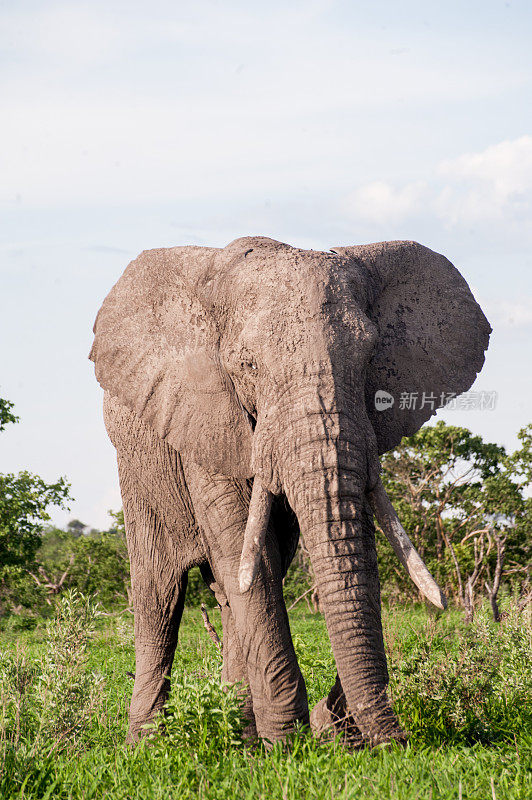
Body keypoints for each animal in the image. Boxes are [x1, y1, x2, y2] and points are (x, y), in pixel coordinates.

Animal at [90, 234, 490, 748]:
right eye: (247, 365)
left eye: (370, 358)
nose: (396, 743)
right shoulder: (205, 415)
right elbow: (247, 557)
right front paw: (287, 742)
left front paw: (301, 736)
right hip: (139, 470)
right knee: (160, 594)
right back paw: (148, 743)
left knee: (228, 592)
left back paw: (240, 736)